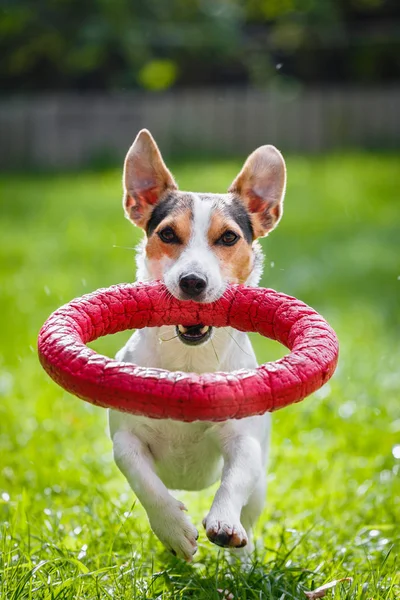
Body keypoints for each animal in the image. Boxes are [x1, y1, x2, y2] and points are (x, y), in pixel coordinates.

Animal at [108, 127, 286, 564]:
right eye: (168, 234)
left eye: (229, 237)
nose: (192, 281)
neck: (189, 362)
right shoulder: (126, 437)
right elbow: (141, 476)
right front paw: (173, 528)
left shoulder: (243, 441)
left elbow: (235, 478)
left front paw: (223, 522)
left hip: (260, 489)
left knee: (250, 512)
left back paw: (245, 561)